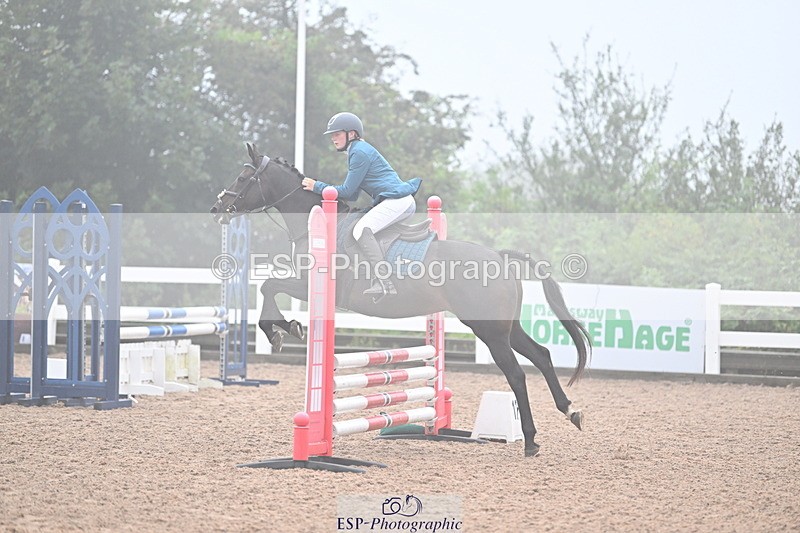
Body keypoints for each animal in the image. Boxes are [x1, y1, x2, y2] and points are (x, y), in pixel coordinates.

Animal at [210, 142, 591, 457]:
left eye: (243, 176)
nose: (217, 207)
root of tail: (499, 256)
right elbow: (269, 287)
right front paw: (284, 328)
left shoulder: (306, 284)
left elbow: (268, 286)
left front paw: (281, 330)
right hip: (505, 328)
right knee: (541, 356)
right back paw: (570, 411)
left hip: (490, 331)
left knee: (516, 374)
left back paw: (530, 441)